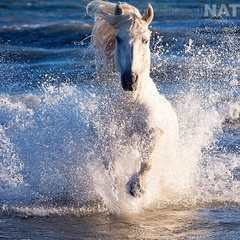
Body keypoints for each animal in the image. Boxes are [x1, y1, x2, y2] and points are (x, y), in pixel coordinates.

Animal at [86, 0, 178, 198]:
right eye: (118, 38)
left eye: (146, 39)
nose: (130, 80)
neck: (131, 103)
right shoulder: (109, 136)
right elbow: (110, 165)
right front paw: (117, 190)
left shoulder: (154, 131)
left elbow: (147, 160)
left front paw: (137, 188)